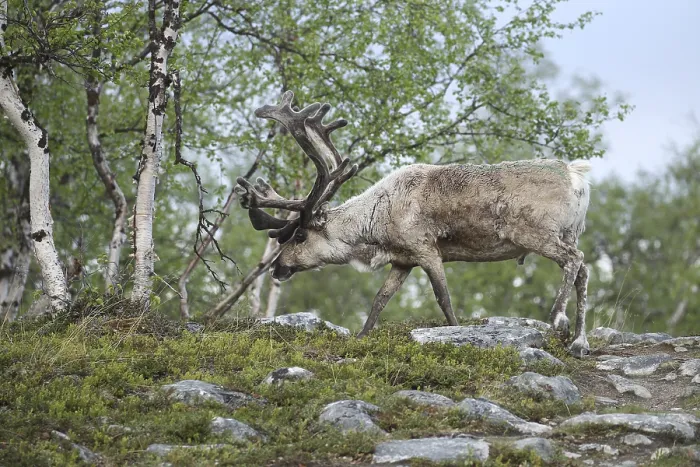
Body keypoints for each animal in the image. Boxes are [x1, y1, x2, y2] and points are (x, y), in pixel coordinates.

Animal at [236, 91, 592, 357]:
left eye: (298, 235)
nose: (277, 268)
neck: (376, 224)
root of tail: (577, 177)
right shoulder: (402, 260)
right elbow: (380, 299)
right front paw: (362, 337)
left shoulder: (425, 248)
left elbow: (443, 298)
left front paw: (455, 332)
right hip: (570, 233)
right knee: (583, 271)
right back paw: (578, 341)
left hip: (536, 233)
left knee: (574, 261)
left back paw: (557, 320)